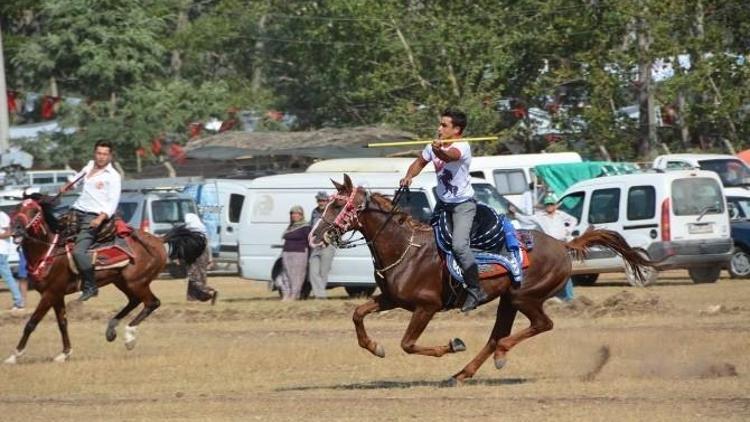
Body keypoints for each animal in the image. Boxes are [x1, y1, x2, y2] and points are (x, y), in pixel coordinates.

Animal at [3, 195, 206, 362]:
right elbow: (62, 323)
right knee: (134, 301)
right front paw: (65, 353)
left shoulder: (50, 293)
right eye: (16, 209)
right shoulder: (57, 294)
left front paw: (15, 355)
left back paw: (129, 336)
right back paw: (111, 328)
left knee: (152, 302)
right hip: (122, 281)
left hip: (137, 281)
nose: (17, 230)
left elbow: (31, 323)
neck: (49, 250)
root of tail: (158, 240)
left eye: (34, 211)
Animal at [308, 175, 656, 382]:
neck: (405, 248)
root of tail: (562, 245)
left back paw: (497, 355)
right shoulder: (392, 299)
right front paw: (375, 346)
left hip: (524, 297)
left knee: (537, 326)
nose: (313, 236)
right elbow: (358, 314)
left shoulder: (426, 306)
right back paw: (463, 373)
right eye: (325, 204)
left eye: (338, 205)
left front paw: (452, 345)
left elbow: (408, 343)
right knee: (497, 335)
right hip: (508, 300)